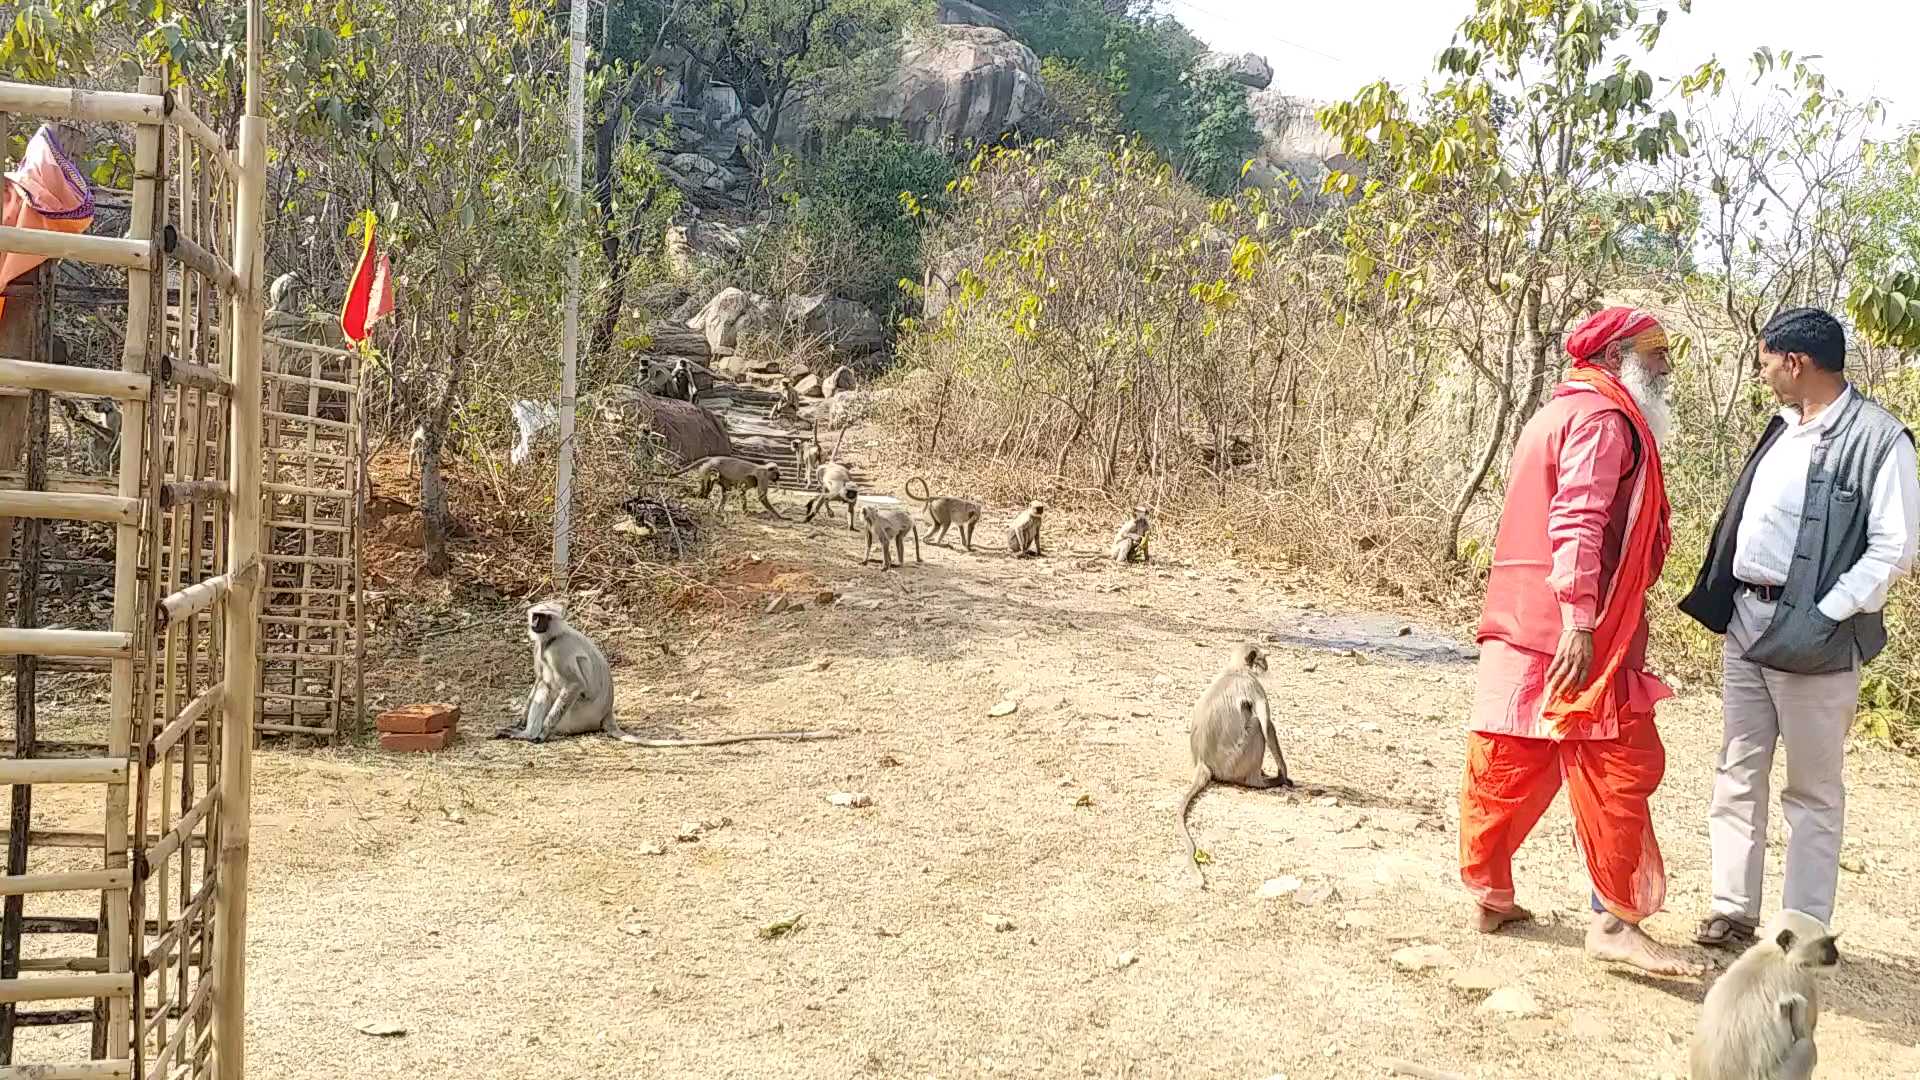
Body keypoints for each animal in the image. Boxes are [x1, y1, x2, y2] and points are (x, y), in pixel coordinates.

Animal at [495, 599, 833, 745]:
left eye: (544, 617)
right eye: (535, 615)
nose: (535, 623)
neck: (551, 637)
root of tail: (607, 714)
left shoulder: (558, 650)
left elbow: (573, 684)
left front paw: (540, 733)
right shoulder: (541, 648)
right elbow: (539, 680)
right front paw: (521, 721)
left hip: (579, 716)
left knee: (553, 690)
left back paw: (532, 734)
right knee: (543, 687)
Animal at [1167, 638, 1290, 883]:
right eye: (1263, 660)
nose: (1267, 666)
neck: (1234, 670)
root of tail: (1202, 763)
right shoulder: (1253, 685)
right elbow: (1268, 725)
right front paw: (1285, 774)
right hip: (1236, 761)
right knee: (1256, 725)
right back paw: (1264, 781)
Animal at [1689, 907, 1835, 1076]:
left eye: (1832, 941)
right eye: (1826, 943)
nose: (1836, 953)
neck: (1776, 954)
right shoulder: (1804, 979)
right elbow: (1807, 1038)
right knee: (1807, 1048)